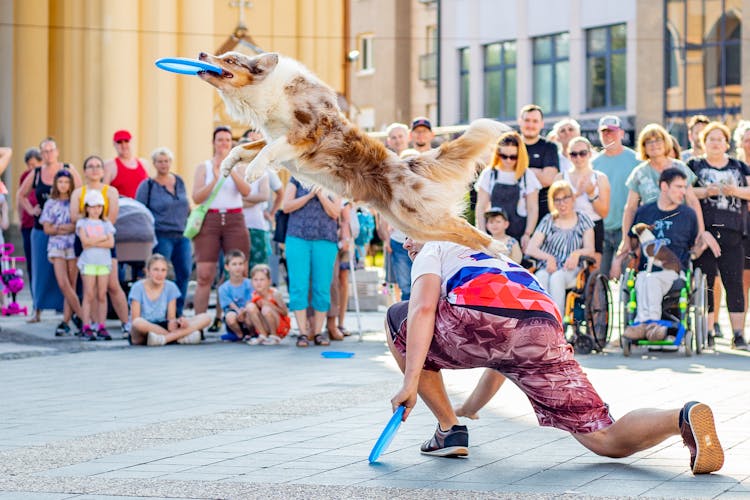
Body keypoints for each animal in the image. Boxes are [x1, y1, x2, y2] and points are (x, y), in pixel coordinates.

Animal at [197, 51, 512, 254]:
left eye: (229, 60)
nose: (201, 53)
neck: (269, 93)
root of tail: (407, 164)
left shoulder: (308, 133)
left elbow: (267, 150)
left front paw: (253, 170)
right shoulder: (277, 138)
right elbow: (247, 146)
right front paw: (227, 165)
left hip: (418, 214)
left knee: (463, 226)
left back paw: (496, 245)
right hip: (411, 224)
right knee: (457, 233)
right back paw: (494, 253)